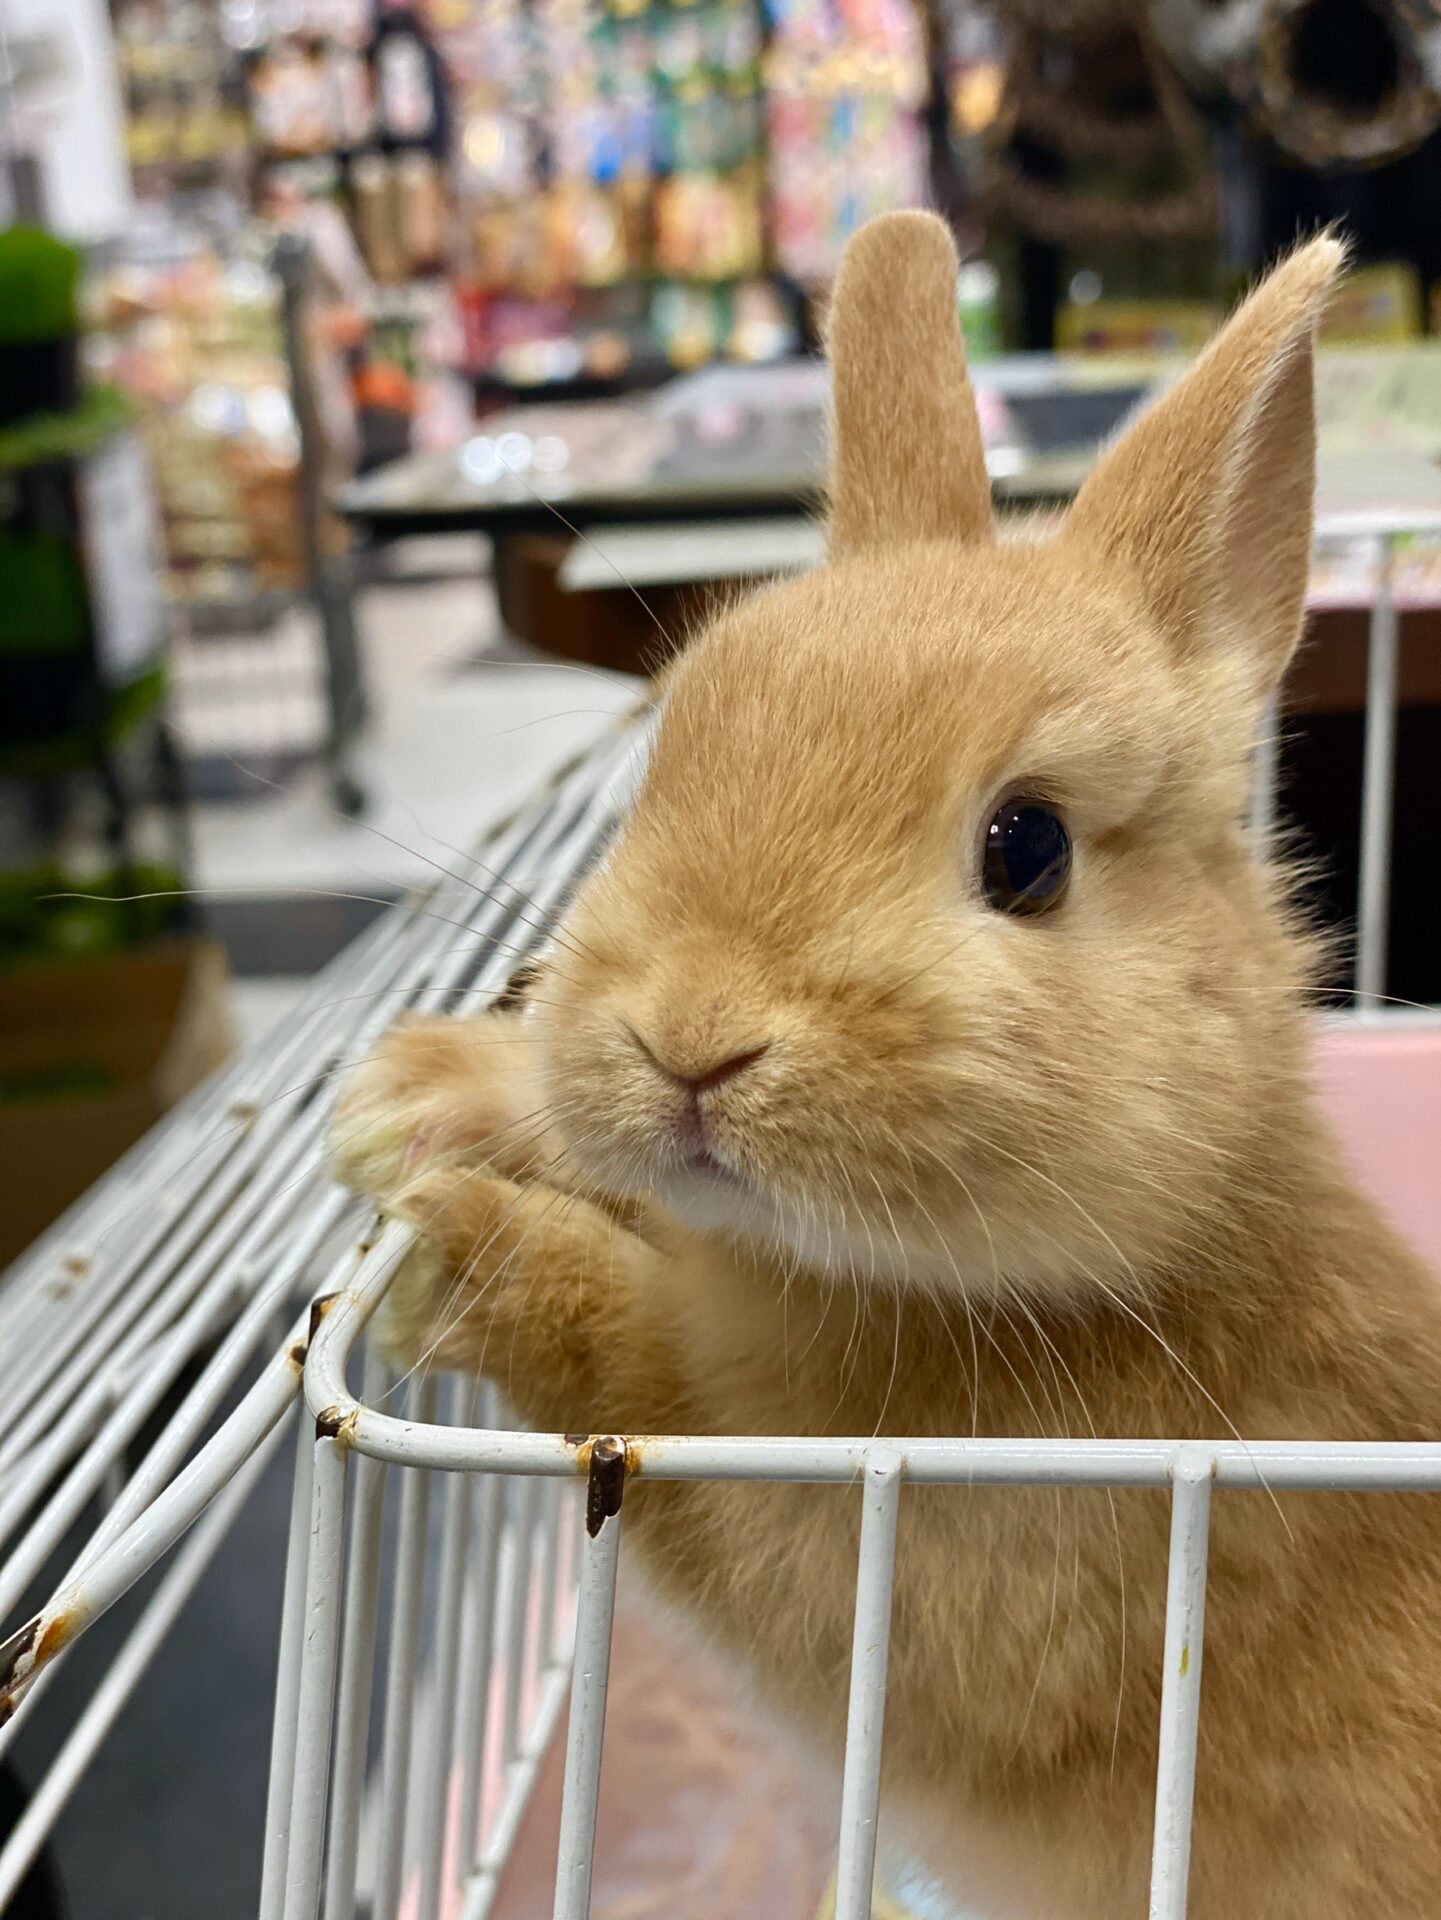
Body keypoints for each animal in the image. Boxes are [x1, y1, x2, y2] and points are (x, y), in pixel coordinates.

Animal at [331, 214, 1441, 1920]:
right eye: (674, 752)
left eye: (1028, 847)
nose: (689, 1041)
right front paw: (413, 1098)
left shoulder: (865, 1562)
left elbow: (649, 1395)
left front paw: (463, 1254)